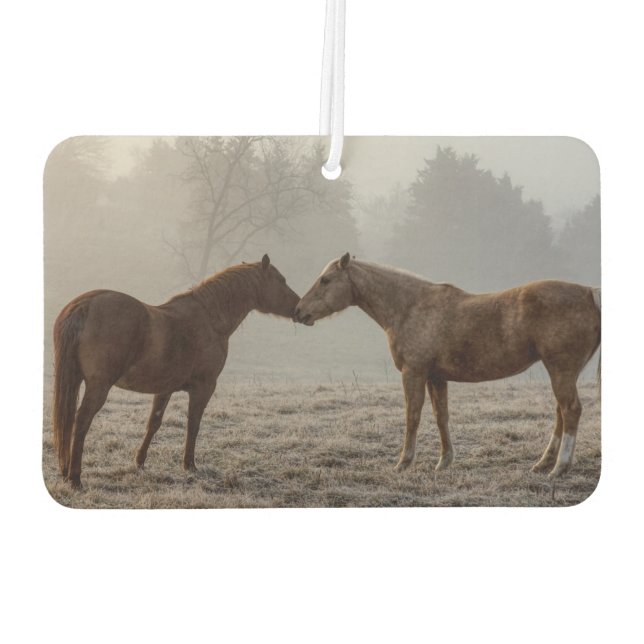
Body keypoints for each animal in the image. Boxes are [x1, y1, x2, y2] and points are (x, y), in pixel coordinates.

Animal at [52, 254, 300, 489]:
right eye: (281, 280)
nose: (299, 308)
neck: (210, 319)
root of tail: (85, 305)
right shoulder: (204, 387)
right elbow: (193, 424)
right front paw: (189, 465)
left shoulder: (165, 388)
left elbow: (154, 423)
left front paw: (139, 461)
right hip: (98, 386)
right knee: (81, 421)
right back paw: (75, 478)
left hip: (74, 380)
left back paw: (66, 472)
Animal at [294, 254, 601, 478]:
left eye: (326, 280)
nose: (298, 311)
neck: (410, 307)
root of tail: (588, 293)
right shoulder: (436, 377)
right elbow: (441, 416)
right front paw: (444, 461)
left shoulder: (414, 373)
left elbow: (412, 416)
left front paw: (403, 463)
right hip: (562, 372)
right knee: (561, 413)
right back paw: (543, 463)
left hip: (560, 370)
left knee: (570, 411)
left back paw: (559, 467)